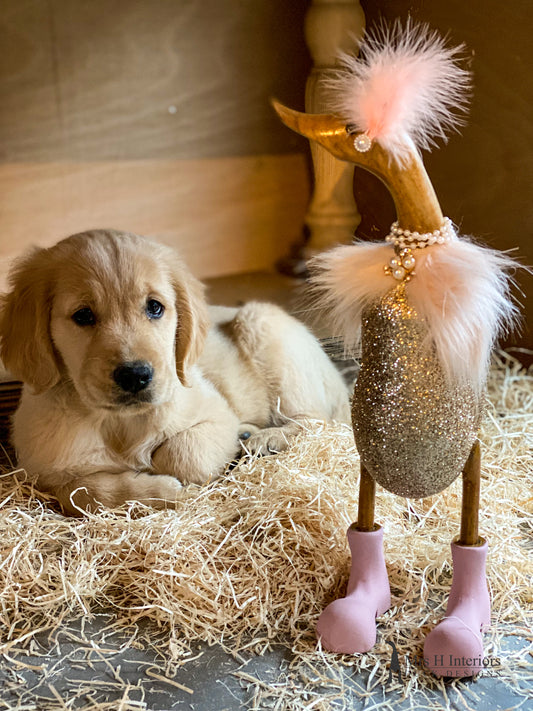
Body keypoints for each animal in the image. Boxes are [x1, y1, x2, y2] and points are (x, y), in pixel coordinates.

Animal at [0, 229, 350, 515]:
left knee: (316, 421)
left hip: (261, 321)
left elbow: (181, 454)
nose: (135, 375)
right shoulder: (43, 470)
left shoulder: (216, 413)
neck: (121, 424)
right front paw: (154, 488)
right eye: (83, 315)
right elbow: (82, 492)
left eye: (155, 307)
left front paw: (169, 482)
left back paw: (264, 438)